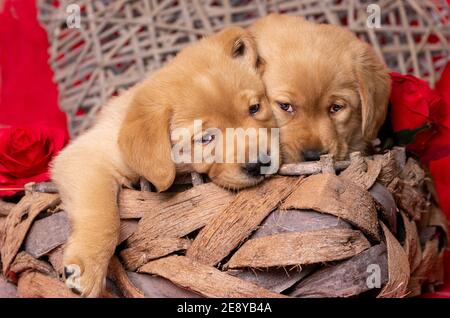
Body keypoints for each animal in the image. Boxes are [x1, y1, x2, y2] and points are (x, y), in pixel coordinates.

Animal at [51, 26, 278, 296]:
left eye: (255, 108)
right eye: (205, 138)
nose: (259, 164)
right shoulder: (85, 157)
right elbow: (103, 216)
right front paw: (88, 266)